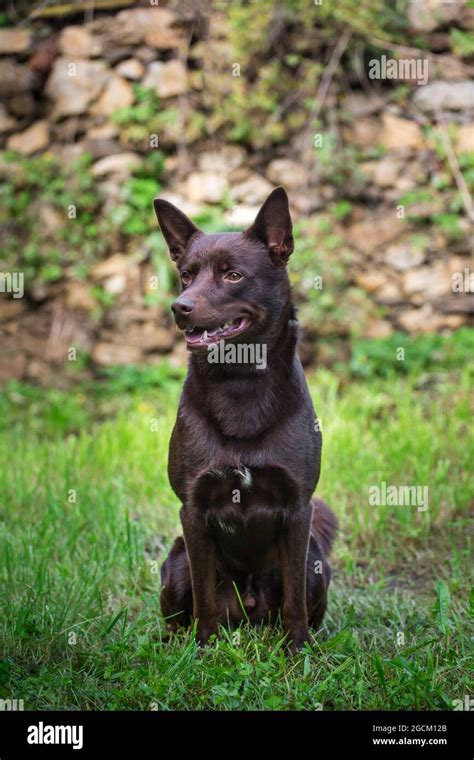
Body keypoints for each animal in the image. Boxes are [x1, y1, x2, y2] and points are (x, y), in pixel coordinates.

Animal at [154, 186, 336, 652]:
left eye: (233, 275)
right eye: (186, 274)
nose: (179, 307)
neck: (240, 383)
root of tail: (249, 612)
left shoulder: (298, 509)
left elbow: (294, 600)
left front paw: (298, 652)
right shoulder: (193, 512)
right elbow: (203, 597)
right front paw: (202, 651)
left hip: (317, 562)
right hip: (174, 562)